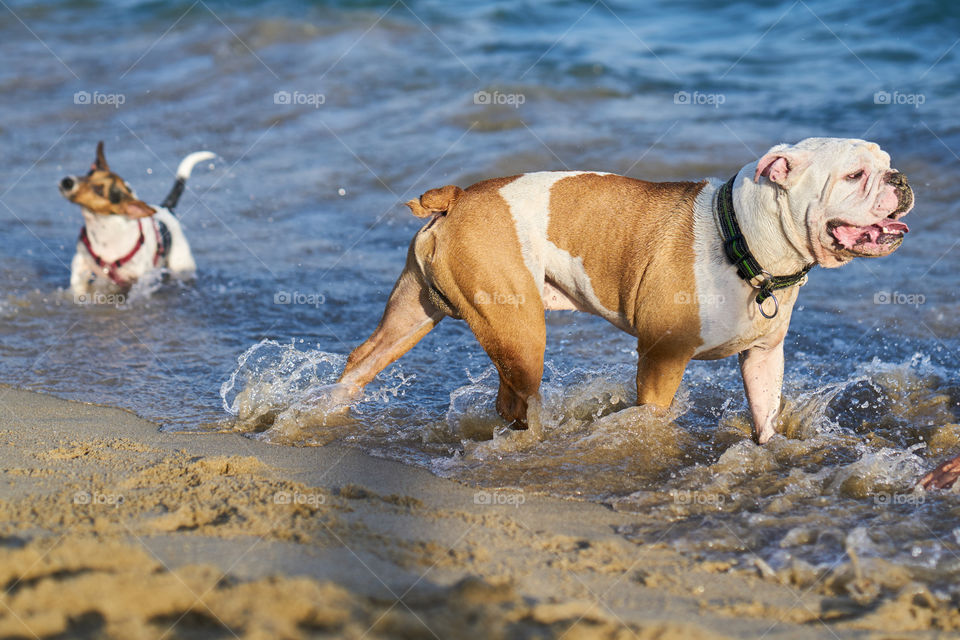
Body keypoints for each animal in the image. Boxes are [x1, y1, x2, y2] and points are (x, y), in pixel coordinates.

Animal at [62, 141, 216, 294]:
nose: (67, 181)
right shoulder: (80, 262)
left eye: (99, 190)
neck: (104, 233)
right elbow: (78, 284)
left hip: (181, 264)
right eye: (88, 173)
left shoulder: (140, 279)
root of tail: (166, 208)